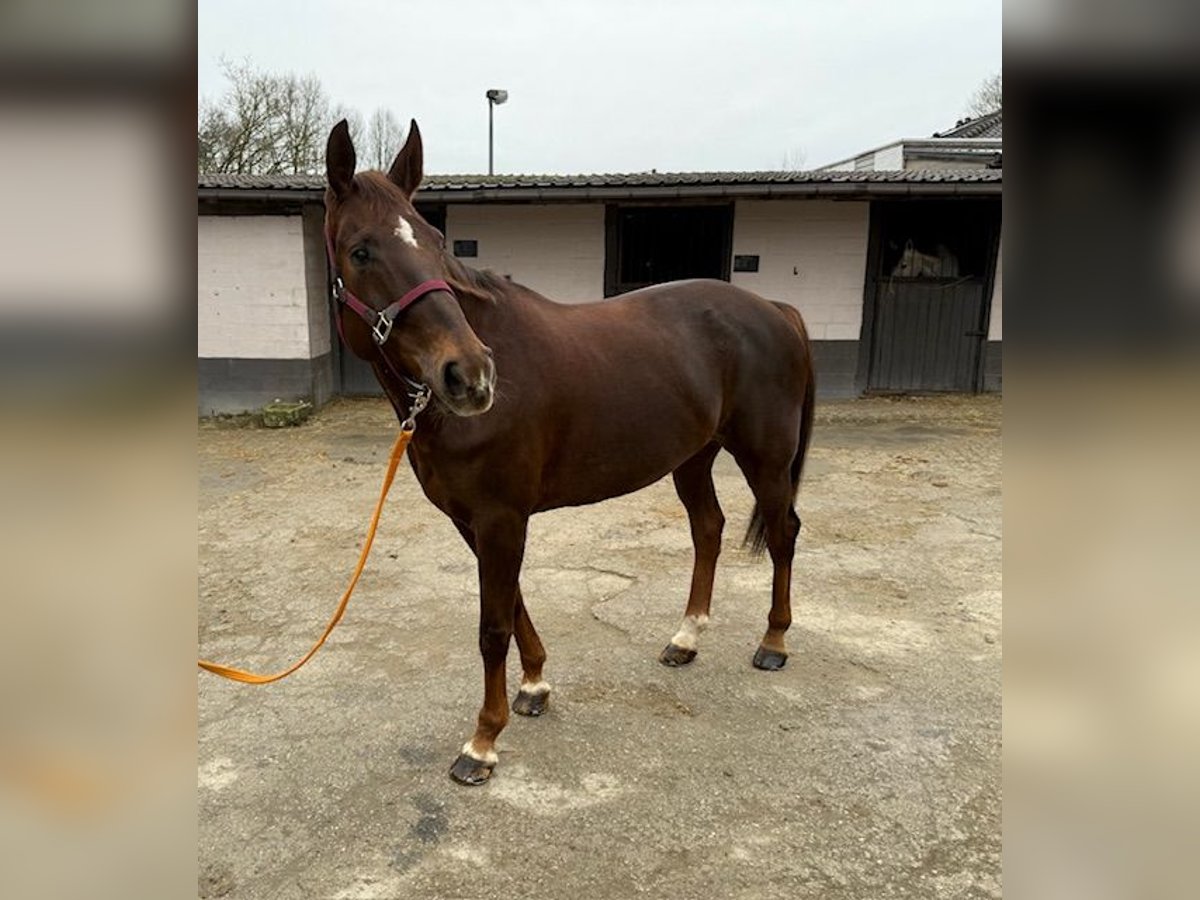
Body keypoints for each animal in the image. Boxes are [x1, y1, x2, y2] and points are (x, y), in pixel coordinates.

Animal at [324, 121, 820, 787]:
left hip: (764, 456)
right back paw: (686, 639)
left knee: (783, 531)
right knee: (709, 529)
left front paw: (483, 742)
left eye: (434, 241)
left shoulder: (501, 518)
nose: (470, 376)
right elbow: (513, 603)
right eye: (361, 252)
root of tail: (777, 311)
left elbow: (492, 626)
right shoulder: (474, 520)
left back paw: (773, 643)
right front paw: (534, 686)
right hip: (693, 457)